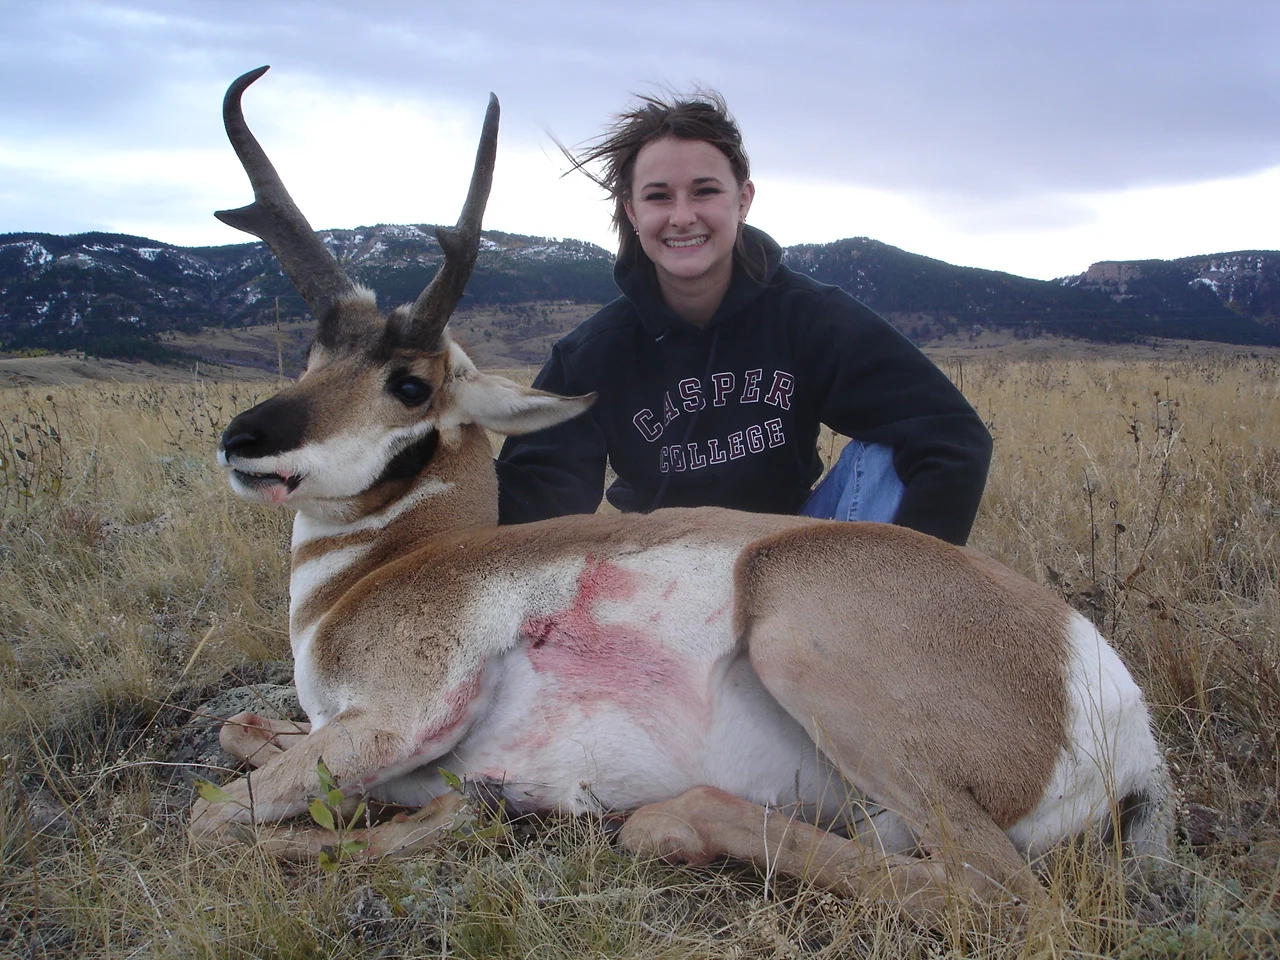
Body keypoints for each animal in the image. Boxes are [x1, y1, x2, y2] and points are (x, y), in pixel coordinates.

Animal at [191, 66, 1170, 922]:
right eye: (316, 350)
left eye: (409, 384)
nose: (244, 439)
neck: (386, 568)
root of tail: (1111, 698)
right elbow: (238, 730)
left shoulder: (394, 721)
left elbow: (213, 814)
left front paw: (460, 812)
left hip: (798, 641)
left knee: (993, 891)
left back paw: (655, 820)